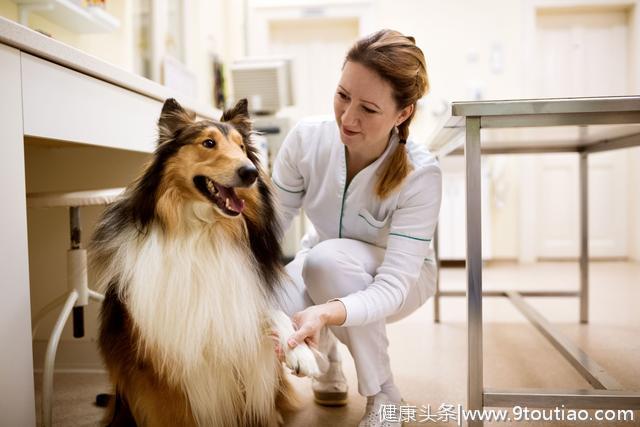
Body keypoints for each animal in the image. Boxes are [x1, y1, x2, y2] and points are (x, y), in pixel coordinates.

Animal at [90, 98, 320, 426]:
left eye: (241, 147)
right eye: (208, 143)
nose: (251, 172)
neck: (203, 231)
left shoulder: (237, 299)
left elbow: (273, 312)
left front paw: (299, 351)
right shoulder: (156, 365)